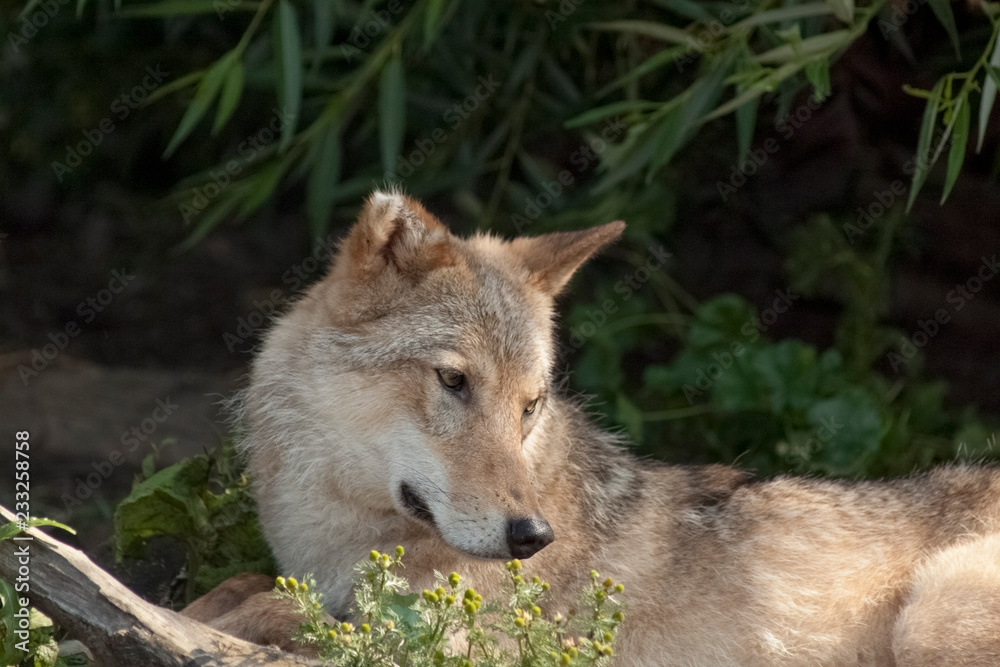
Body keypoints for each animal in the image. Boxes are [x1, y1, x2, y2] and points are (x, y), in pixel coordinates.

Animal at [184, 190, 1000, 665]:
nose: (531, 536)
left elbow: (289, 612)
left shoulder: (456, 644)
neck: (333, 541)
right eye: (454, 381)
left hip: (930, 618)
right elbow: (240, 586)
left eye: (531, 403)